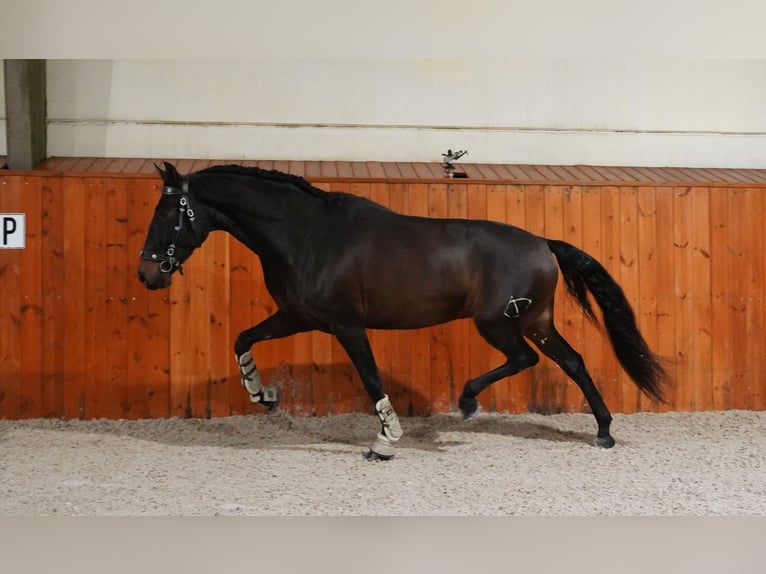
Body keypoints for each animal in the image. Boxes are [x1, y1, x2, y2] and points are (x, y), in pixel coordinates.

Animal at [140, 164, 664, 462]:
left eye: (167, 215)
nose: (147, 275)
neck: (308, 235)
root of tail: (542, 242)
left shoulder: (346, 324)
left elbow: (371, 378)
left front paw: (384, 441)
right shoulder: (299, 316)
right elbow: (243, 338)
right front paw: (261, 394)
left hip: (499, 323)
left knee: (527, 360)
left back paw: (469, 402)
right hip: (534, 322)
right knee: (572, 362)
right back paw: (603, 432)